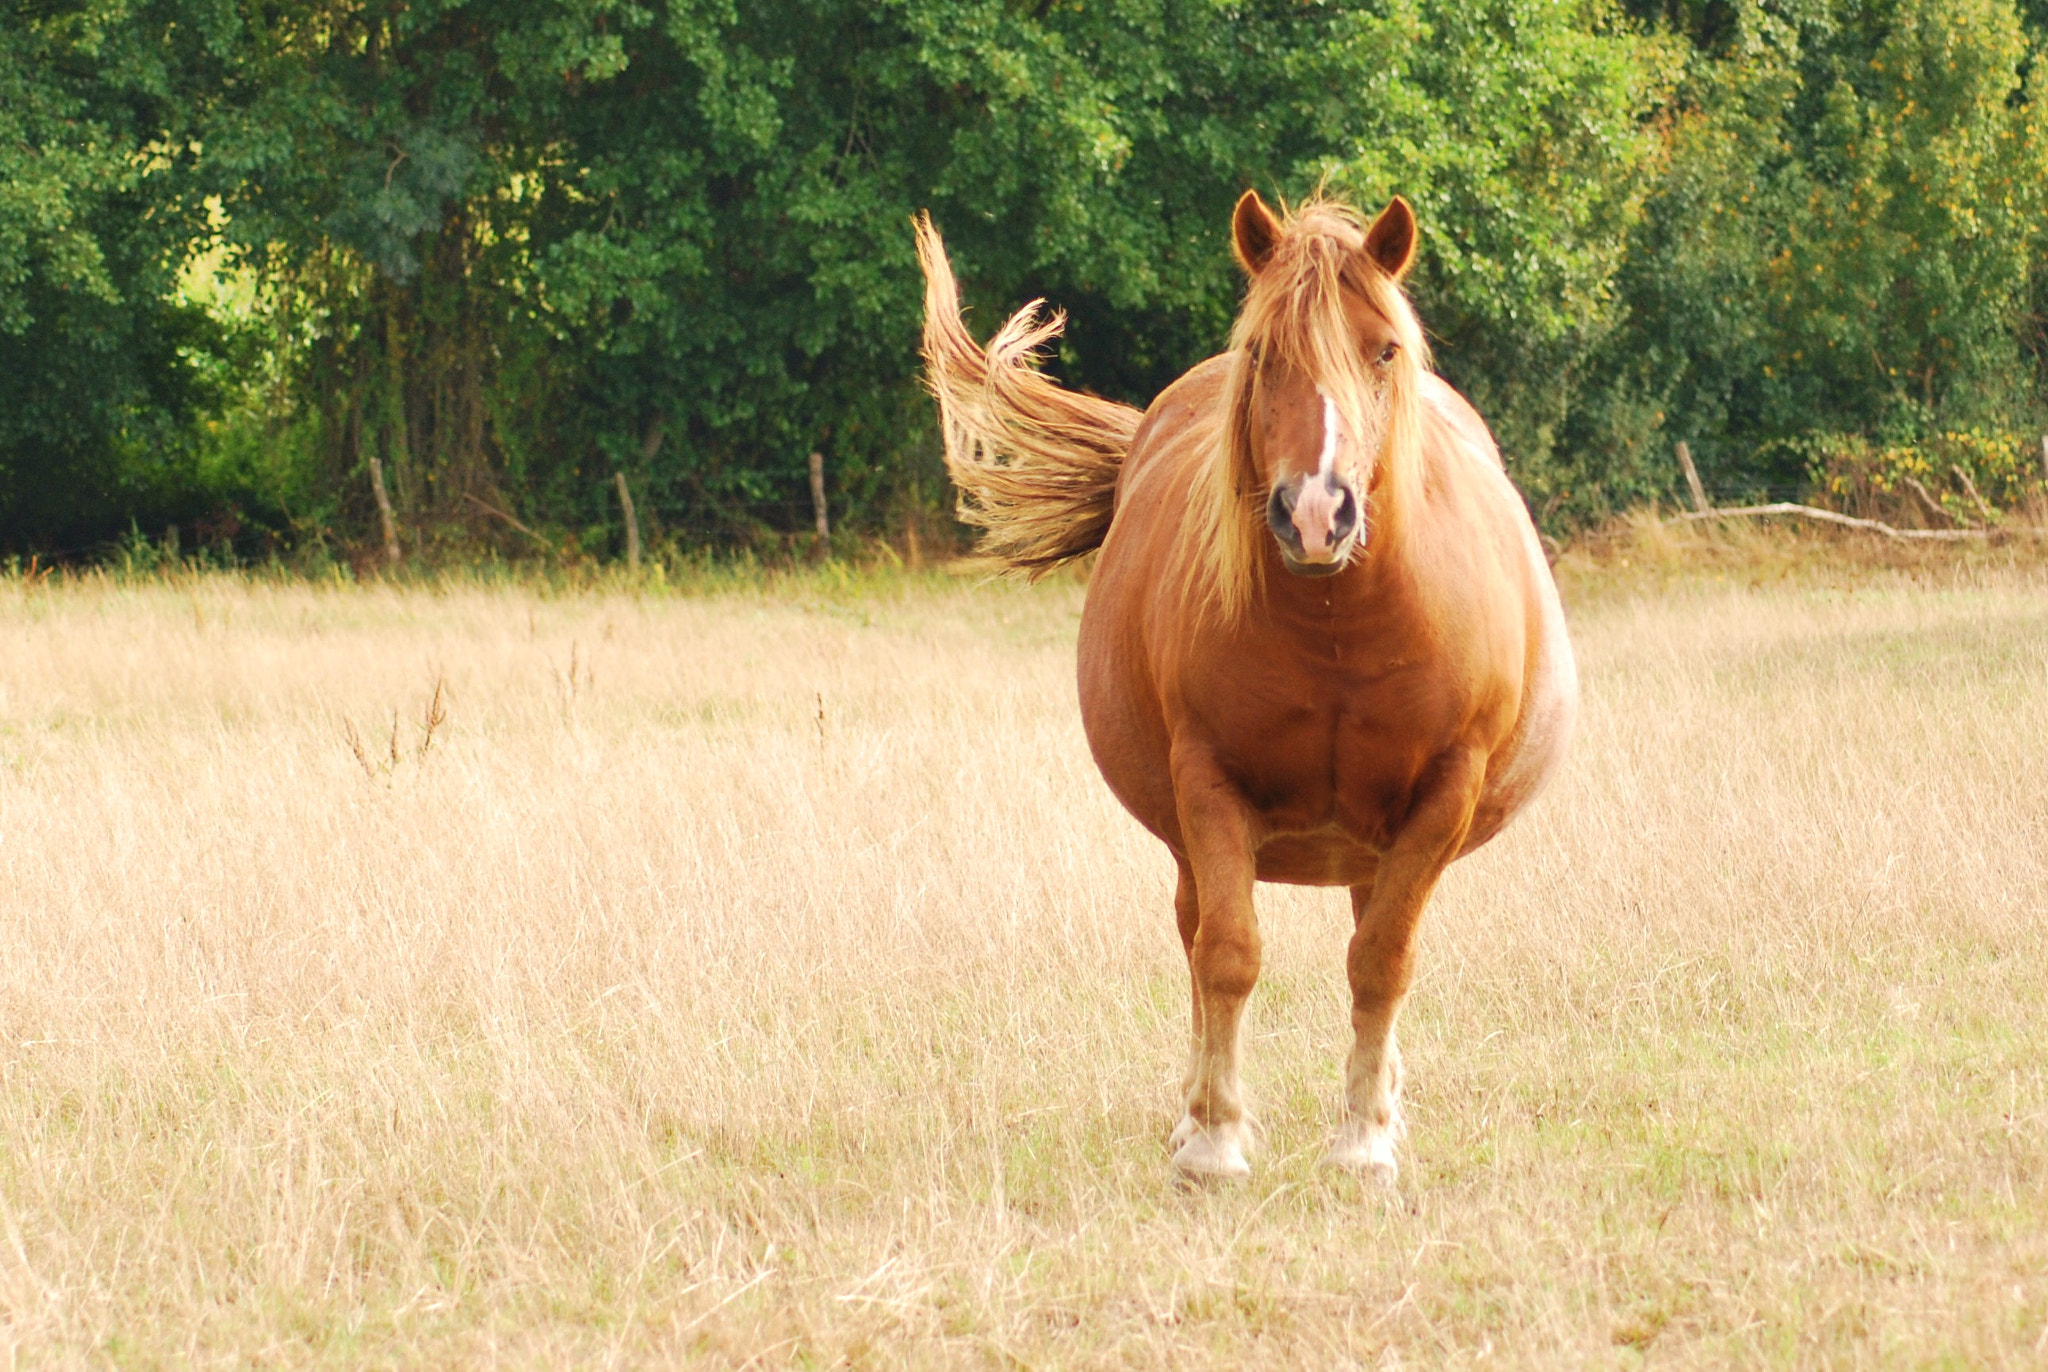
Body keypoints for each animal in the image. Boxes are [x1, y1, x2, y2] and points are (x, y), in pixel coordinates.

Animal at [921, 190, 1572, 1179]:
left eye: (1385, 349)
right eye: (1263, 352)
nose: (1317, 512)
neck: (1339, 630)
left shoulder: (1444, 793)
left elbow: (1382, 960)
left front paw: (1364, 1142)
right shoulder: (1209, 787)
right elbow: (1226, 953)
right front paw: (1214, 1140)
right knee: (1196, 935)